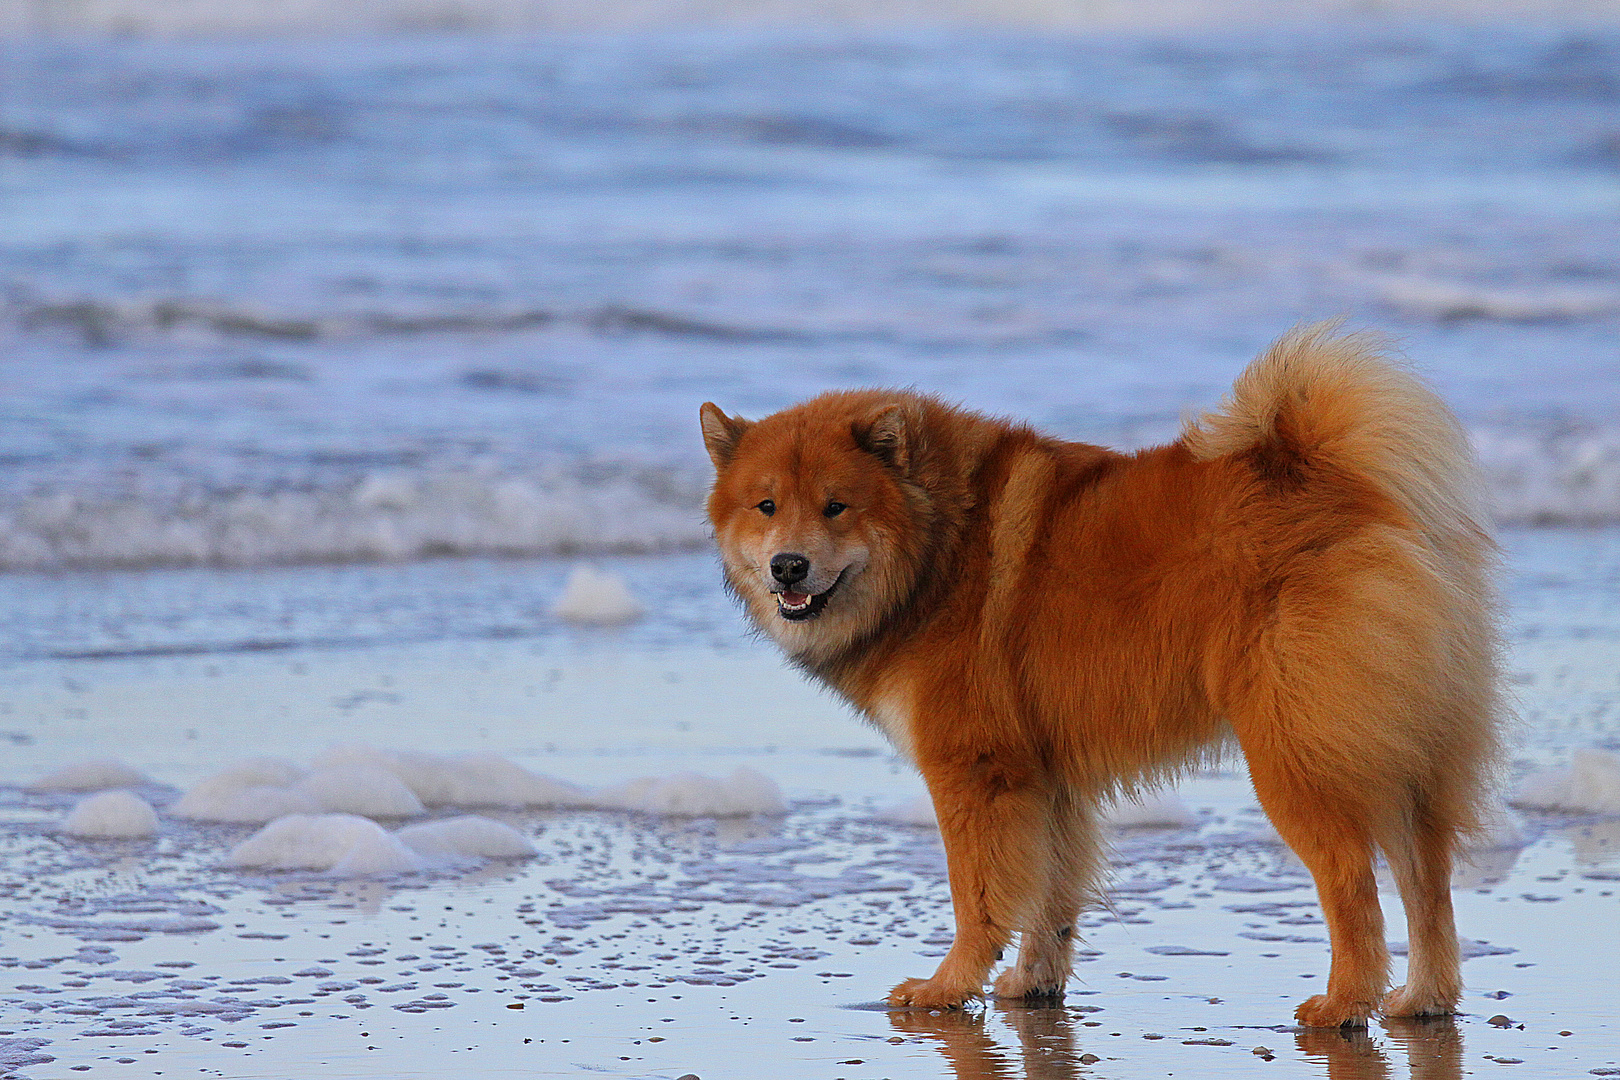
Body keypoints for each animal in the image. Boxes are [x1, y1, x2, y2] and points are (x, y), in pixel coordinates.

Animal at [703, 325, 1496, 1029]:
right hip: (1405, 754)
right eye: (766, 506)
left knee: (1354, 885)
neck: (938, 548)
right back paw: (1422, 999)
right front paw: (1031, 984)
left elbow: (978, 898)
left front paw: (947, 987)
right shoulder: (1047, 777)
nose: (788, 566)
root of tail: (1350, 492)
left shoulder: (974, 771)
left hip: (1295, 754)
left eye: (836, 507)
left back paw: (1343, 1005)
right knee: (1428, 881)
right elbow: (1052, 898)